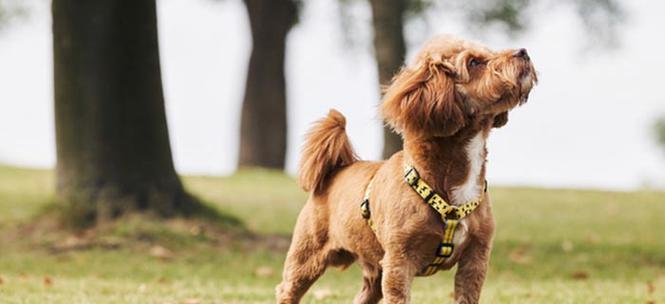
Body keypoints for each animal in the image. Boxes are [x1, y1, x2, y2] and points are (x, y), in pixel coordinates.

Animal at [274, 36, 536, 304]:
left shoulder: (476, 257)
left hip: (374, 269)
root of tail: (334, 171)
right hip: (308, 254)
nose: (523, 52)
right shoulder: (399, 262)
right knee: (287, 289)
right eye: (474, 63)